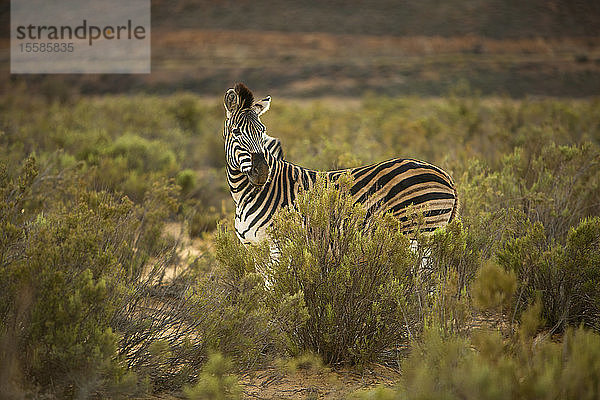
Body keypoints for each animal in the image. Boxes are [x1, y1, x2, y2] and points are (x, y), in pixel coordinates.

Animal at [223, 82, 458, 245]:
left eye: (261, 131)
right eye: (236, 132)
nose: (263, 172)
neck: (243, 196)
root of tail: (445, 175)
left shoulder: (278, 244)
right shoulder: (254, 247)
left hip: (417, 232)